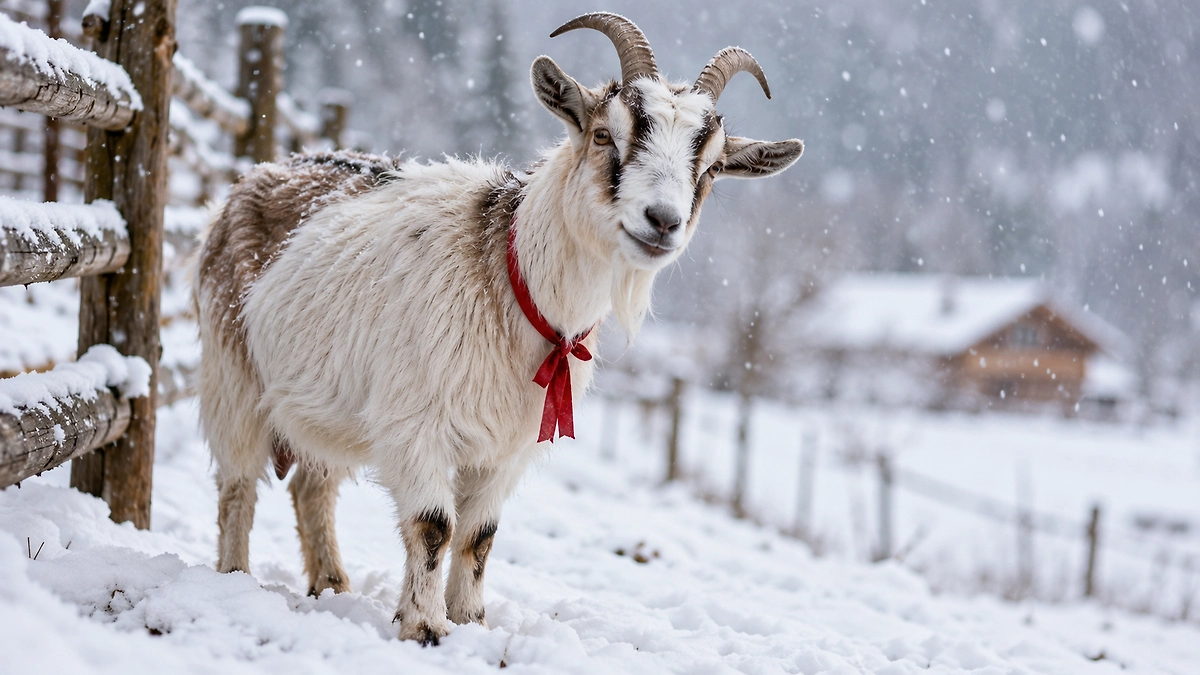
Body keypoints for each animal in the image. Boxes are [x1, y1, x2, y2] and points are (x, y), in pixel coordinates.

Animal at [195, 12, 804, 645]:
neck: (509, 281)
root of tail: (254, 176)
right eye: (605, 135)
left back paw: (333, 585)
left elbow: (478, 537)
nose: (662, 221)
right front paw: (425, 626)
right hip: (233, 375)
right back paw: (236, 577)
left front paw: (471, 621)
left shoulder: (506, 449)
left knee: (311, 486)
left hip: (325, 407)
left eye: (710, 167)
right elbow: (434, 525)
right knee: (237, 487)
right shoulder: (417, 425)